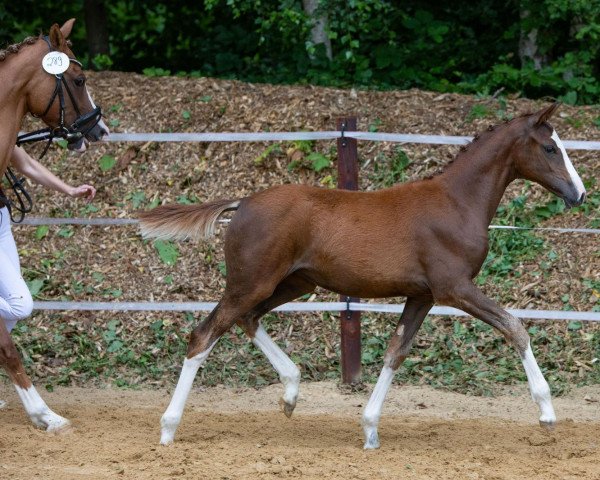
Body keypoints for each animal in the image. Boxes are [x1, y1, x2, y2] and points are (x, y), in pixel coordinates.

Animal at [138, 103, 584, 448]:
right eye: (549, 147)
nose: (579, 194)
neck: (457, 202)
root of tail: (243, 202)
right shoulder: (454, 288)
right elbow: (514, 326)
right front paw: (547, 412)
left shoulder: (422, 295)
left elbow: (395, 351)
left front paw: (370, 429)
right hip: (251, 283)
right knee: (203, 336)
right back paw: (168, 428)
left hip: (293, 283)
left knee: (247, 320)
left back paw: (291, 392)